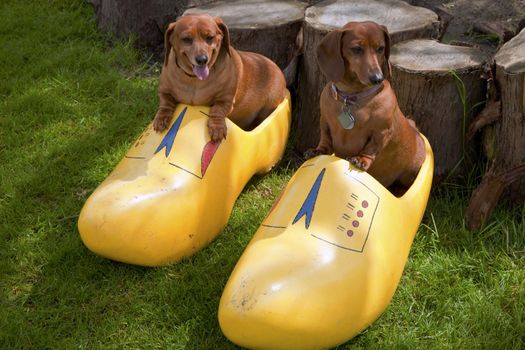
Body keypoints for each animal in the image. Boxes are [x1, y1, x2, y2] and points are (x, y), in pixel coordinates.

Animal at [154, 13, 286, 142]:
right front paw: (161, 118)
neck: (194, 80)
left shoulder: (226, 100)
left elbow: (217, 110)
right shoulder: (164, 91)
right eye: (186, 39)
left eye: (210, 37)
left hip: (268, 106)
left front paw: (217, 127)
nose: (202, 60)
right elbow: (165, 103)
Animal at [304, 20, 424, 191]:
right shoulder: (325, 121)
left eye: (380, 48)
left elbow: (371, 148)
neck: (351, 97)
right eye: (356, 49)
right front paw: (318, 151)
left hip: (410, 174)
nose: (377, 78)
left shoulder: (381, 132)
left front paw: (360, 160)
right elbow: (325, 139)